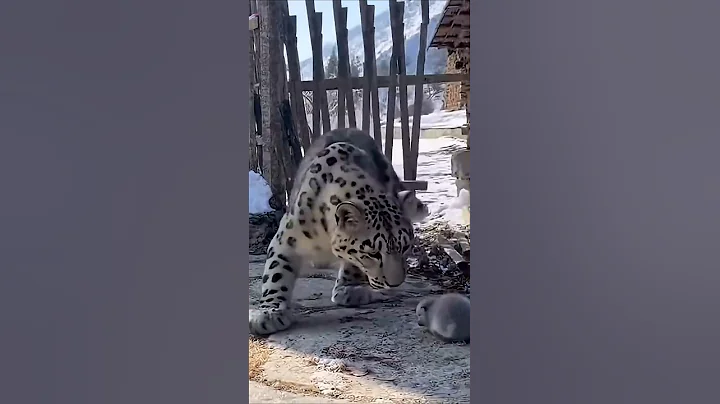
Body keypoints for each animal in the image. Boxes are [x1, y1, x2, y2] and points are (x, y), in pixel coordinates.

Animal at [249, 128, 417, 336]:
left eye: (405, 247)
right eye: (372, 253)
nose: (395, 284)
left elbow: (352, 263)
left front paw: (350, 289)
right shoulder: (285, 238)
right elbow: (276, 271)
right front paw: (269, 313)